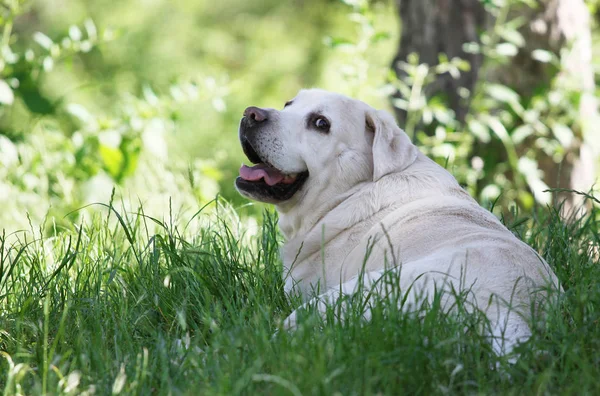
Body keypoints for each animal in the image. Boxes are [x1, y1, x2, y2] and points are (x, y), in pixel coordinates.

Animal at [234, 88, 556, 354]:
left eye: (320, 123)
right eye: (288, 104)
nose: (251, 113)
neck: (351, 190)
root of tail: (508, 312)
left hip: (351, 293)